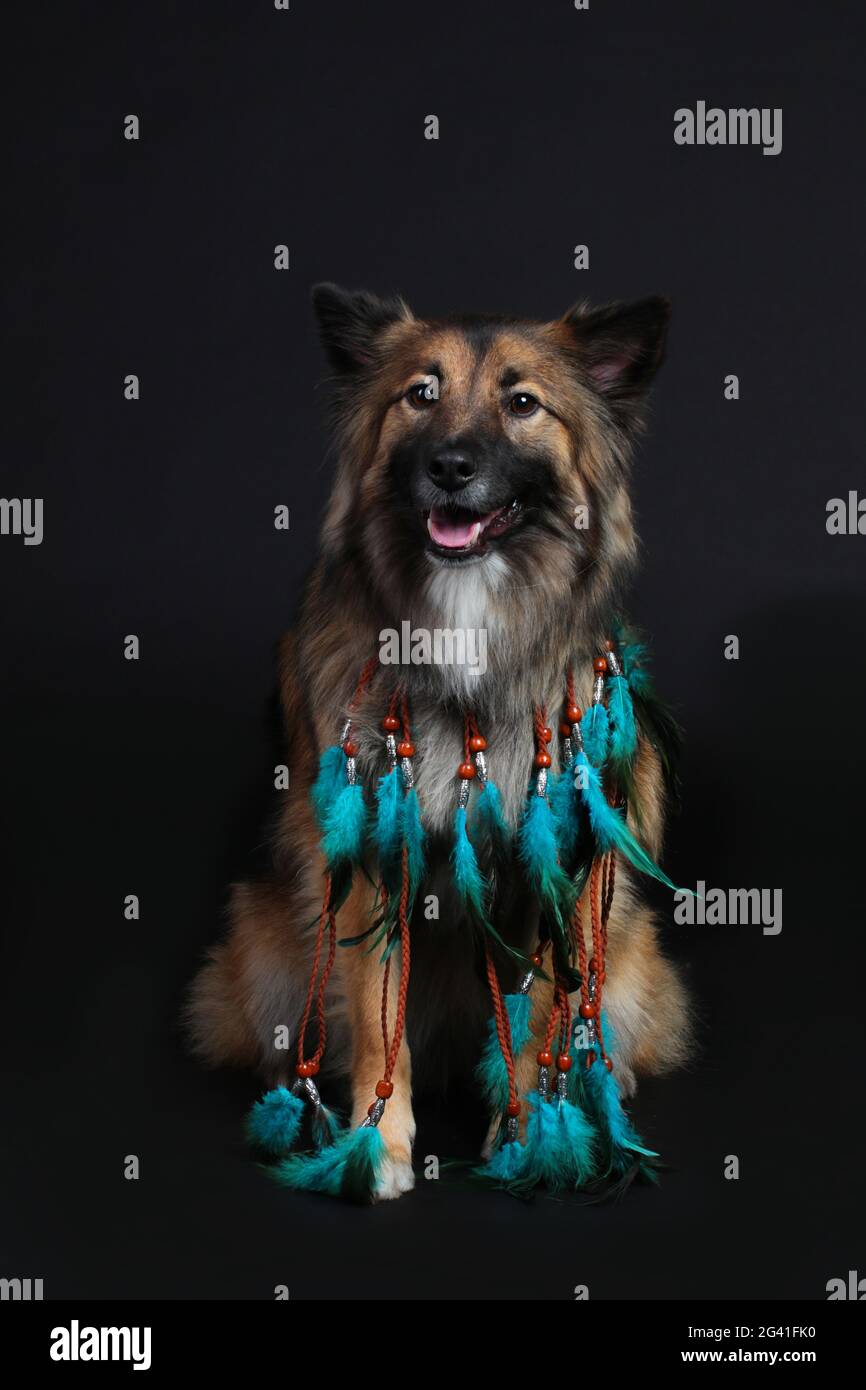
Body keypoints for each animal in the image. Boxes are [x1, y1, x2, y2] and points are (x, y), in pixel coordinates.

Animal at [187, 282, 692, 1195]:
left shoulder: (545, 862)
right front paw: (378, 1143)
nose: (451, 467)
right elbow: (377, 1019)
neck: (467, 612)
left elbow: (533, 1017)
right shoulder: (372, 858)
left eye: (523, 404)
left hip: (628, 949)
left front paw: (527, 1135)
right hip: (264, 934)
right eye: (420, 394)